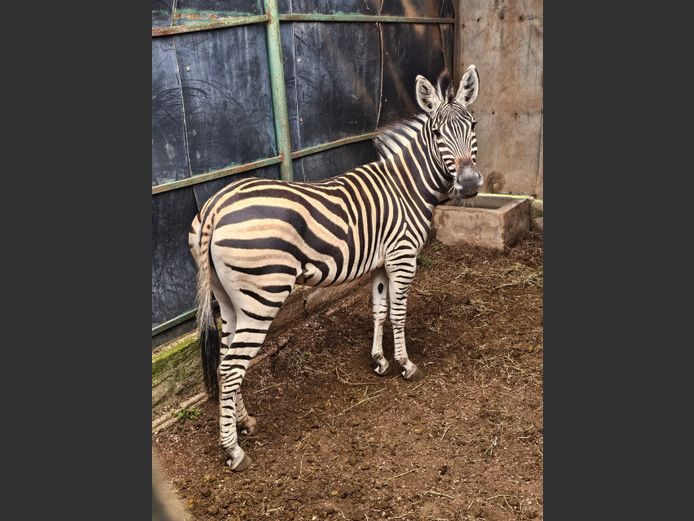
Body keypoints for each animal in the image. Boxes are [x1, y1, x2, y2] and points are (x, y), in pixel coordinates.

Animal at [188, 65, 483, 471]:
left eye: (473, 125)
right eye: (437, 134)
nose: (469, 186)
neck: (408, 187)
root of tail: (216, 205)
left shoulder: (380, 263)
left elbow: (378, 311)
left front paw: (379, 360)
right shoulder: (403, 257)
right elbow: (398, 314)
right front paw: (405, 364)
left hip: (230, 301)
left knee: (224, 360)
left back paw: (244, 421)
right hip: (262, 296)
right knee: (231, 367)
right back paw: (233, 450)